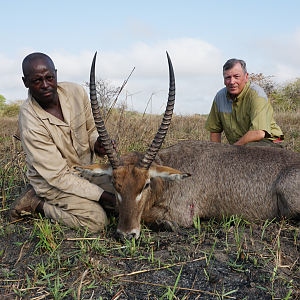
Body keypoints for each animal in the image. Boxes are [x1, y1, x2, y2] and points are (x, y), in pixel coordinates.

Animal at [77, 52, 300, 239]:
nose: (126, 234)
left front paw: (164, 224)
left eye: (146, 184)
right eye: (115, 184)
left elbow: (153, 218)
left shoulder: (182, 213)